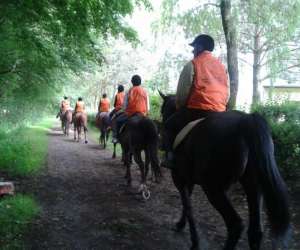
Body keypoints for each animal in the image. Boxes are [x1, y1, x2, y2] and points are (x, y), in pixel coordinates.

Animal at [159, 92, 290, 250]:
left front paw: (193, 240)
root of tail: (246, 121)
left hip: (213, 189)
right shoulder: (187, 179)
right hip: (254, 187)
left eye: (162, 110)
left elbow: (187, 205)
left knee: (236, 225)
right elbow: (187, 203)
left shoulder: (178, 178)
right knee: (255, 231)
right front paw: (182, 225)